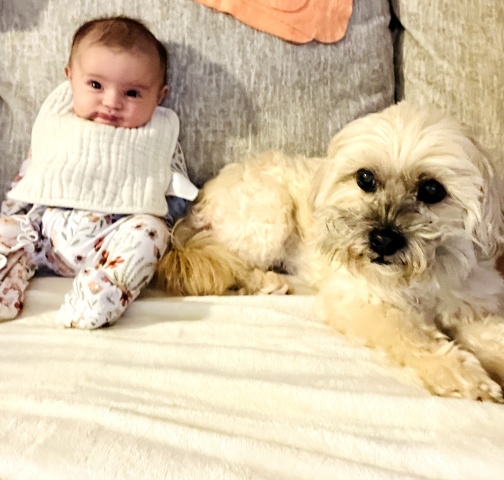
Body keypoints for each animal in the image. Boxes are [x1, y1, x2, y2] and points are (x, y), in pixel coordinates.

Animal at [157, 102, 504, 402]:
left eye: (432, 190)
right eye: (365, 178)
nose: (382, 240)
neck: (418, 278)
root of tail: (199, 200)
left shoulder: (469, 305)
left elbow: (491, 335)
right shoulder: (365, 305)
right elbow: (415, 339)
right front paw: (462, 376)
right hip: (269, 218)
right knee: (231, 265)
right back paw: (267, 282)